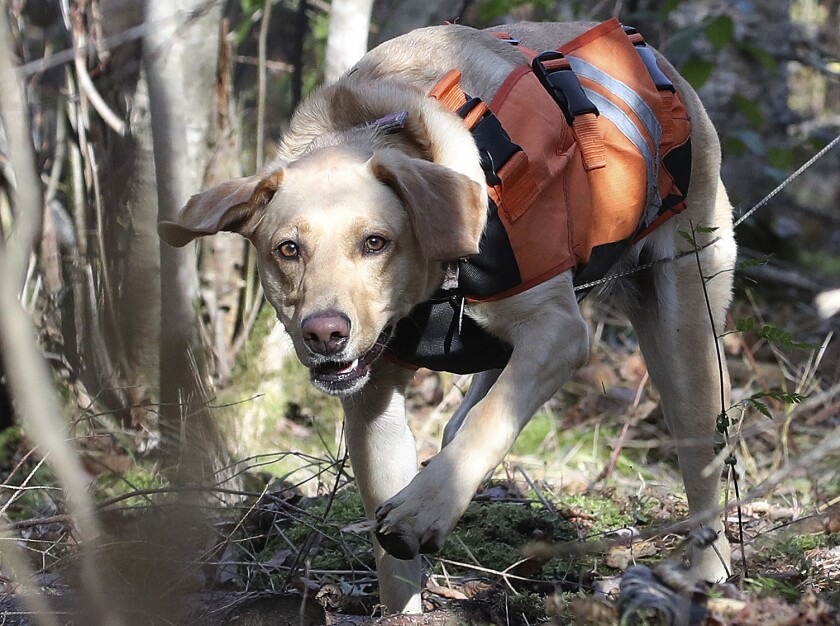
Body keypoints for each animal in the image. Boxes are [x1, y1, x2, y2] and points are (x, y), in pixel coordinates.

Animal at [159, 18, 736, 608]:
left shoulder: (557, 331)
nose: (324, 334)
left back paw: (707, 571)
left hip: (687, 333)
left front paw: (422, 511)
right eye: (288, 249)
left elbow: (492, 419)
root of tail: (662, 65)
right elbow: (394, 558)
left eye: (375, 242)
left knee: (701, 454)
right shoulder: (373, 401)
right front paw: (405, 606)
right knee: (463, 416)